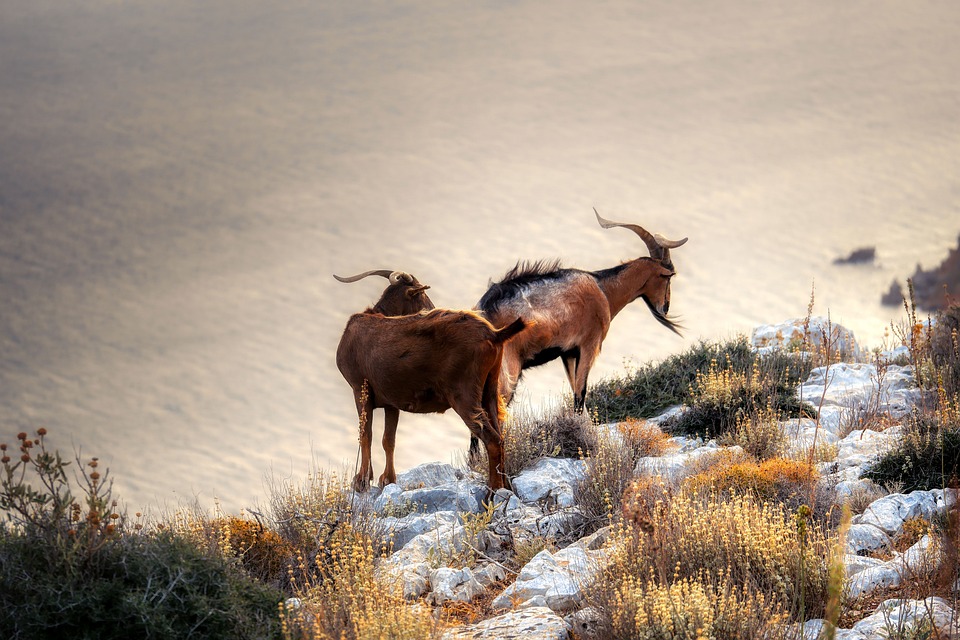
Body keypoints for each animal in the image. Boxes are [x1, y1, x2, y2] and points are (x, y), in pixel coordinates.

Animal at [336, 308, 524, 492]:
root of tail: (494, 335)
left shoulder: (360, 387)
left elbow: (365, 435)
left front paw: (362, 480)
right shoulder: (391, 401)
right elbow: (388, 440)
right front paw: (388, 479)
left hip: (464, 393)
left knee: (492, 439)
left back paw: (493, 491)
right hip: (490, 389)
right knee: (500, 435)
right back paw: (506, 485)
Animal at [472, 210, 684, 436]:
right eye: (668, 277)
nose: (665, 308)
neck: (603, 289)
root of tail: (484, 310)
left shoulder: (568, 352)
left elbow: (575, 390)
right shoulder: (589, 345)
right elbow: (580, 393)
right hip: (507, 370)